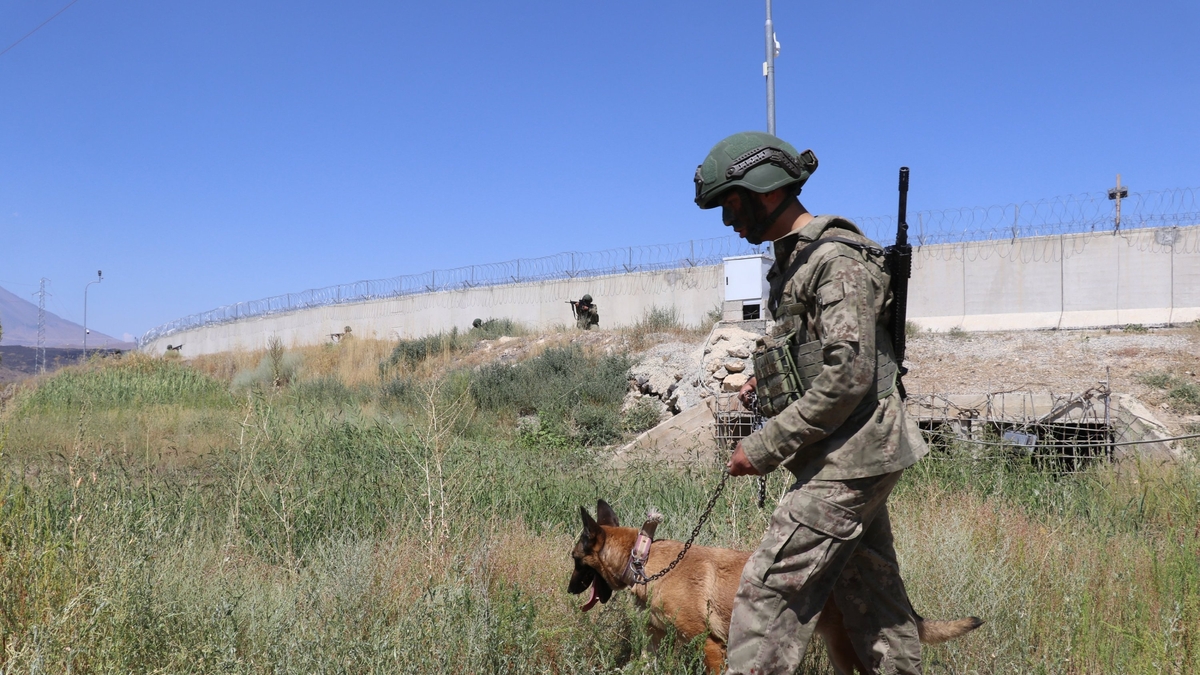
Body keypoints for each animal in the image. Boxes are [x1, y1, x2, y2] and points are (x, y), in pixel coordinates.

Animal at [566, 497, 979, 667]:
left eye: (574, 560)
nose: (568, 590)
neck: (646, 560)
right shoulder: (655, 643)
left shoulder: (712, 645)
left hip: (843, 649)